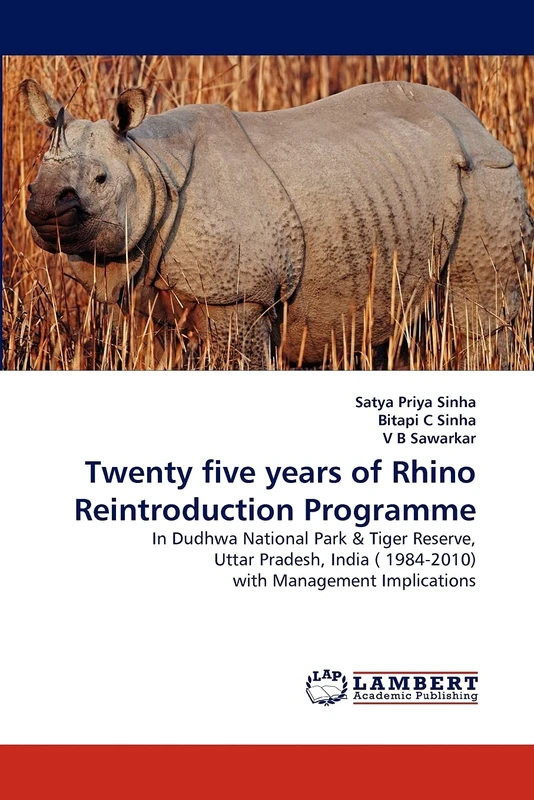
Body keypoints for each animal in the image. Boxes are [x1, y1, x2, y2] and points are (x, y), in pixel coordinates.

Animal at [21, 78, 533, 368]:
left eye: (101, 179)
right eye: (34, 179)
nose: (43, 207)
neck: (148, 162)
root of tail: (482, 128)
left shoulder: (238, 296)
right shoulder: (144, 294)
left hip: (487, 182)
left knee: (479, 326)